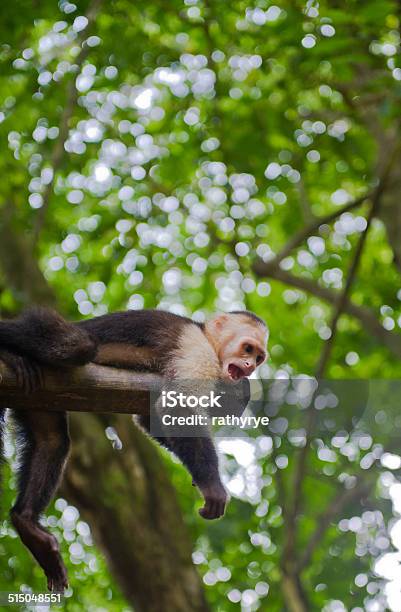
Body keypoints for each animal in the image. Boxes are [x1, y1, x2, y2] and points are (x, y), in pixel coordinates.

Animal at [0, 308, 268, 592]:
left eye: (258, 358)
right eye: (247, 348)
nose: (250, 366)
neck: (207, 338)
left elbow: (152, 419)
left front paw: (197, 477)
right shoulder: (196, 348)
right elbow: (179, 407)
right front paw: (212, 486)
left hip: (36, 394)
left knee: (51, 440)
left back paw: (27, 523)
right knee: (77, 344)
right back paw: (9, 353)